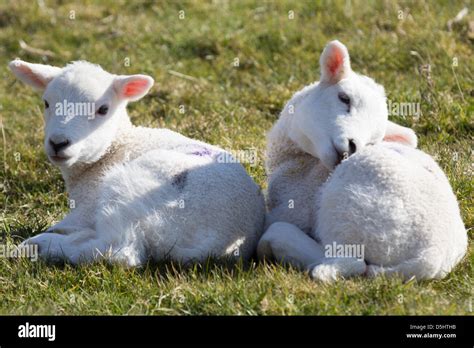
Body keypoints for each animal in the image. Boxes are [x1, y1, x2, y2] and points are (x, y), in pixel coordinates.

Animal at [10, 60, 266, 266]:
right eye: (46, 103)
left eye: (103, 109)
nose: (58, 142)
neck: (117, 145)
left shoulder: (89, 205)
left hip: (132, 190)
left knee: (119, 251)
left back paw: (42, 245)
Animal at [258, 40, 468, 282]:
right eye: (344, 98)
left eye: (372, 141)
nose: (352, 147)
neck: (296, 158)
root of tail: (431, 257)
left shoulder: (295, 204)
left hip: (347, 209)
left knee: (353, 262)